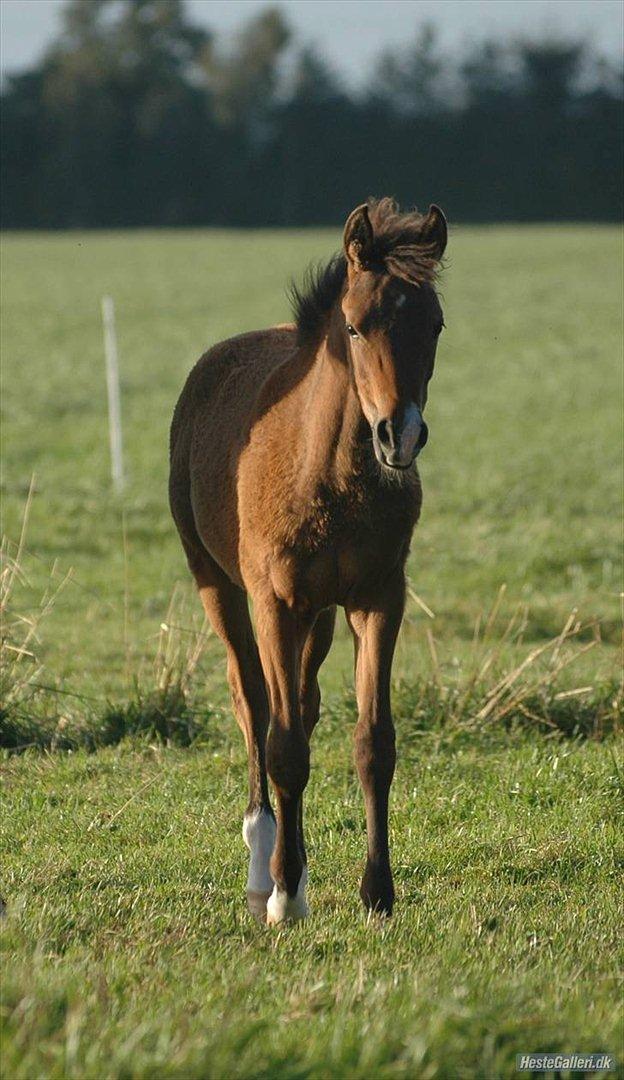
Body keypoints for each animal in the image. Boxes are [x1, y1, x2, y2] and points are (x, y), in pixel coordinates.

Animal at [169, 197, 447, 923]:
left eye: (434, 325)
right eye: (354, 325)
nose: (400, 435)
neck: (330, 474)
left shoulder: (378, 598)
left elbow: (373, 744)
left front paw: (377, 893)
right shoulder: (273, 600)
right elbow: (283, 745)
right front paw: (287, 895)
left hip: (318, 616)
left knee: (303, 699)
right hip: (219, 586)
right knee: (254, 702)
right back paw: (262, 860)